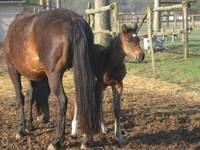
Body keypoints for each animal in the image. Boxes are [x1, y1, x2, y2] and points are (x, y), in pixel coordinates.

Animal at [4, 8, 101, 149]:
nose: (43, 117)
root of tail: (74, 19)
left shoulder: (12, 70)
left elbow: (20, 98)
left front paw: (21, 130)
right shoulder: (32, 74)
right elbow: (30, 96)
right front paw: (29, 125)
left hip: (54, 75)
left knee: (62, 100)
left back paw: (56, 141)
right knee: (87, 95)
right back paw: (86, 140)